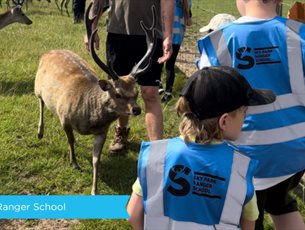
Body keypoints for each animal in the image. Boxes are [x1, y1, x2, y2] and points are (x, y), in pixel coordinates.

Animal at [34, 2, 156, 195]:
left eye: (136, 93)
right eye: (117, 94)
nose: (136, 109)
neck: (88, 117)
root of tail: (47, 52)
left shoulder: (102, 131)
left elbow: (95, 160)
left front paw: (94, 189)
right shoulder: (64, 118)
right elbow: (70, 140)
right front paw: (74, 163)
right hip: (37, 86)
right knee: (40, 102)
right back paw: (40, 132)